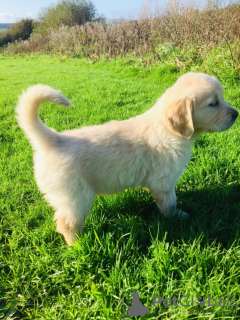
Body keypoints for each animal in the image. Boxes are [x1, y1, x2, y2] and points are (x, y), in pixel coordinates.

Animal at [16, 72, 238, 244]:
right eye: (213, 103)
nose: (236, 114)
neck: (169, 130)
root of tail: (54, 140)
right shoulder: (164, 182)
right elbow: (170, 204)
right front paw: (177, 218)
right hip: (76, 197)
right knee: (66, 224)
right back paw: (78, 246)